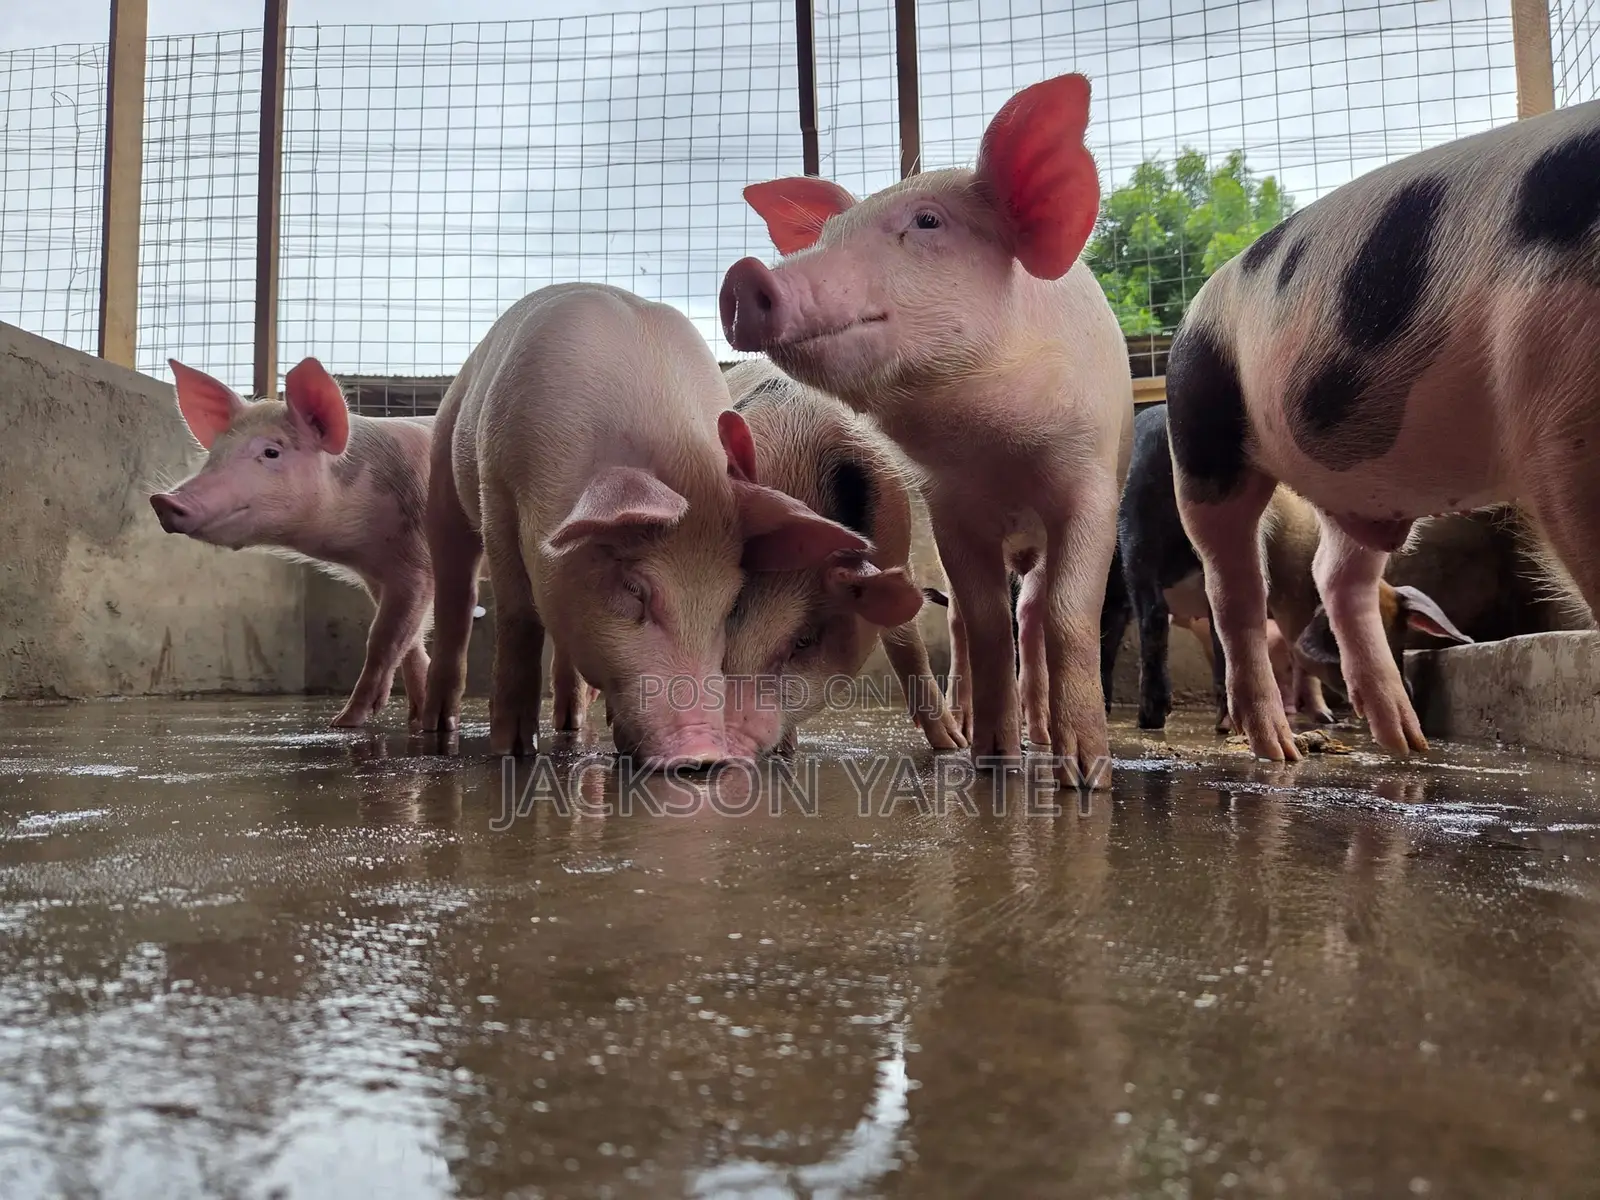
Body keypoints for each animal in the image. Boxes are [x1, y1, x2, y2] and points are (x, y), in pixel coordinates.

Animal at [149, 357, 434, 729]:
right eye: (215, 454)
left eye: (271, 452)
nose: (162, 501)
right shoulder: (378, 574)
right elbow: (411, 642)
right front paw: (418, 719)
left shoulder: (418, 564)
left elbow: (384, 638)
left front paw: (344, 721)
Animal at [416, 283, 873, 767]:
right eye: (635, 589)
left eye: (731, 605)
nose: (703, 754)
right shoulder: (498, 491)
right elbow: (518, 618)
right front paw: (514, 751)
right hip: (443, 476)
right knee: (456, 596)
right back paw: (438, 725)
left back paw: (571, 723)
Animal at [1164, 100, 1600, 761]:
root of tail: (1194, 306)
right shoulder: (1562, 420)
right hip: (1203, 443)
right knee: (1236, 589)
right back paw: (1279, 748)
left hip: (1366, 486)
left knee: (1339, 577)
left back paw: (1405, 740)